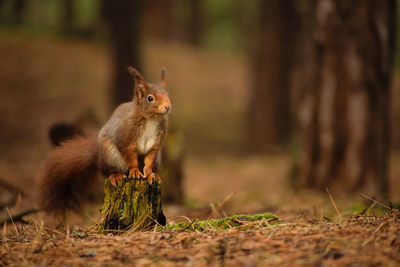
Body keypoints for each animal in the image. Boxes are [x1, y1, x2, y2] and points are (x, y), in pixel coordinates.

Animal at [38, 66, 173, 218]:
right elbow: (130, 157)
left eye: (168, 95)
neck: (151, 119)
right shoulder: (124, 139)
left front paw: (149, 173)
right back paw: (117, 176)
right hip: (110, 156)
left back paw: (155, 174)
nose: (167, 106)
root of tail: (99, 159)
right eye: (150, 98)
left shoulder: (155, 145)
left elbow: (149, 159)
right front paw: (134, 171)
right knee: (108, 172)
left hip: (158, 158)